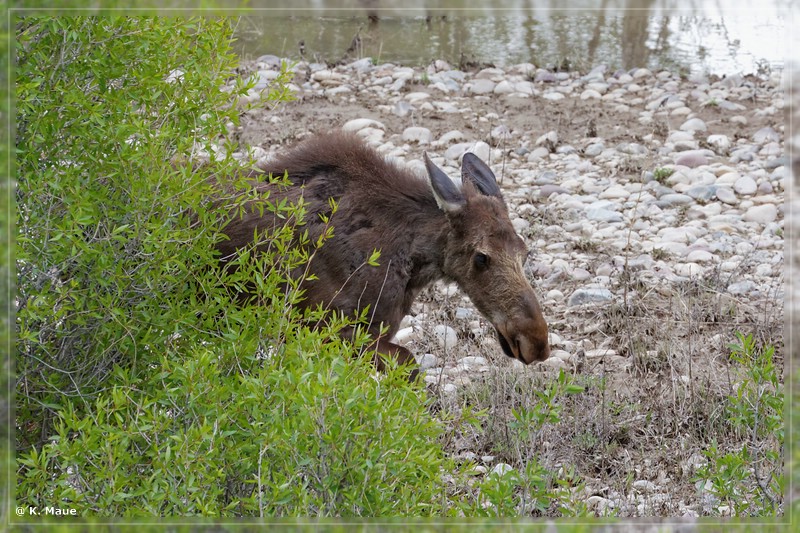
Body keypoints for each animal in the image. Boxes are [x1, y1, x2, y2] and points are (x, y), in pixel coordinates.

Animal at [216, 132, 548, 374]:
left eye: (525, 252)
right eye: (481, 257)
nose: (536, 341)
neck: (411, 264)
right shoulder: (325, 327)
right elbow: (408, 368)